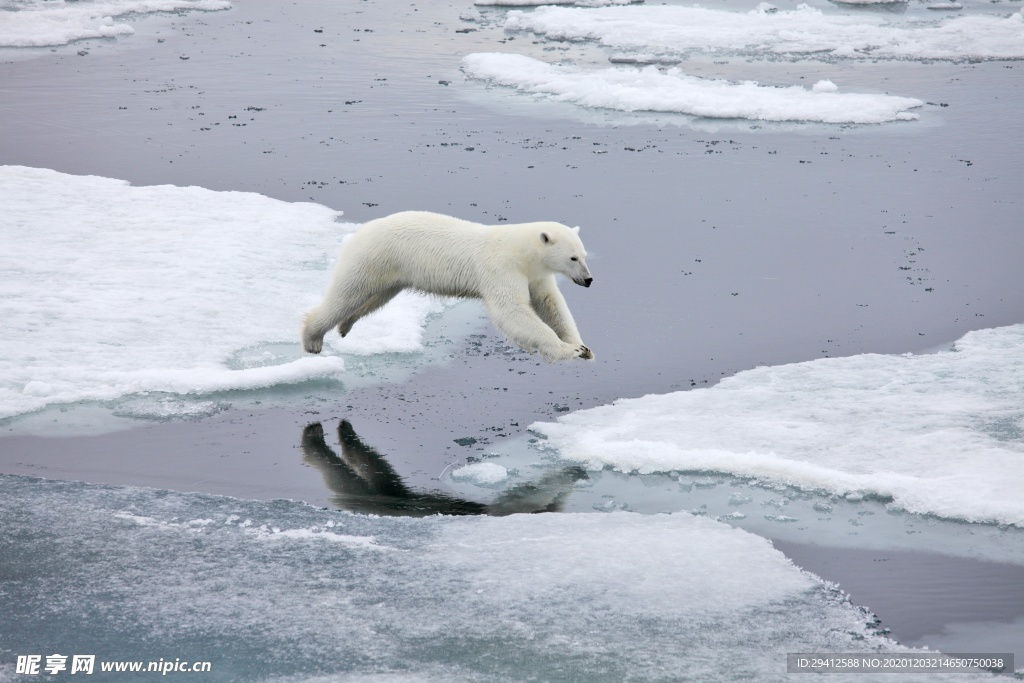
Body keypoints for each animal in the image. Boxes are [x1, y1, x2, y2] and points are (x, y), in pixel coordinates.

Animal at [299, 210, 598, 362]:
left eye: (584, 255)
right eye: (573, 258)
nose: (588, 280)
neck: (521, 251)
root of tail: (361, 230)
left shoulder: (534, 275)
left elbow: (551, 304)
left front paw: (583, 347)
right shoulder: (501, 268)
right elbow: (512, 311)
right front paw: (567, 350)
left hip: (391, 272)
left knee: (374, 298)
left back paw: (345, 325)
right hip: (373, 257)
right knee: (346, 293)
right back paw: (313, 338)